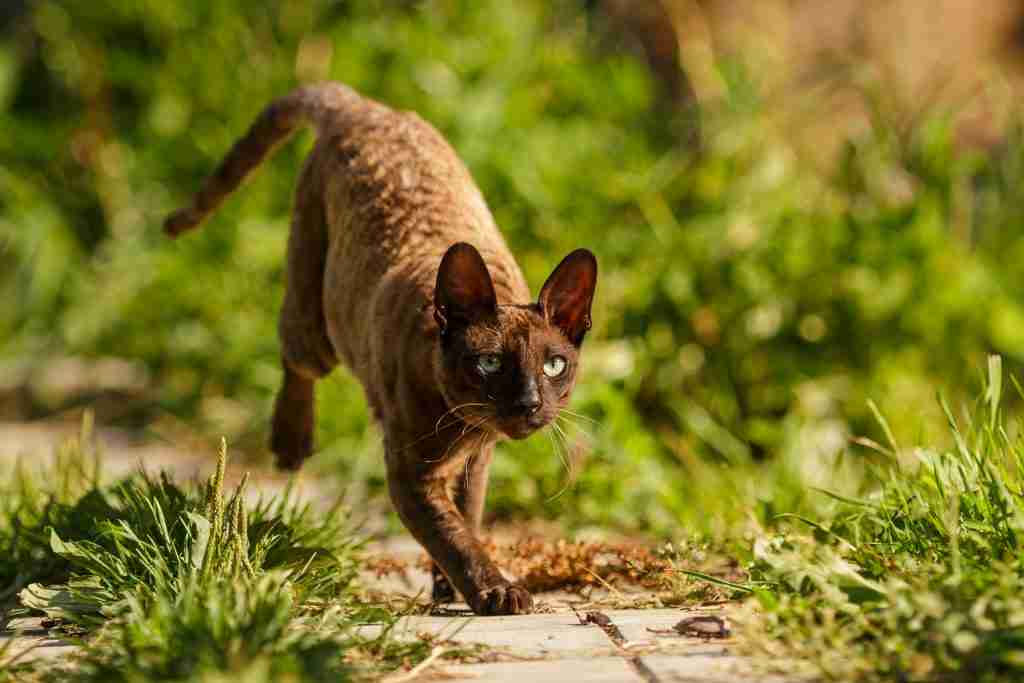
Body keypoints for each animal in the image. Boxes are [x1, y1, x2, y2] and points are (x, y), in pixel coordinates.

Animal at [162, 82, 598, 618]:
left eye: (554, 365)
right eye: (490, 362)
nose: (530, 403)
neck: (466, 429)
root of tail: (364, 106)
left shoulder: (475, 464)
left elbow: (467, 522)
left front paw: (449, 589)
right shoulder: (411, 475)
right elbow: (452, 536)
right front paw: (493, 592)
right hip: (316, 322)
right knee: (295, 359)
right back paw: (290, 443)